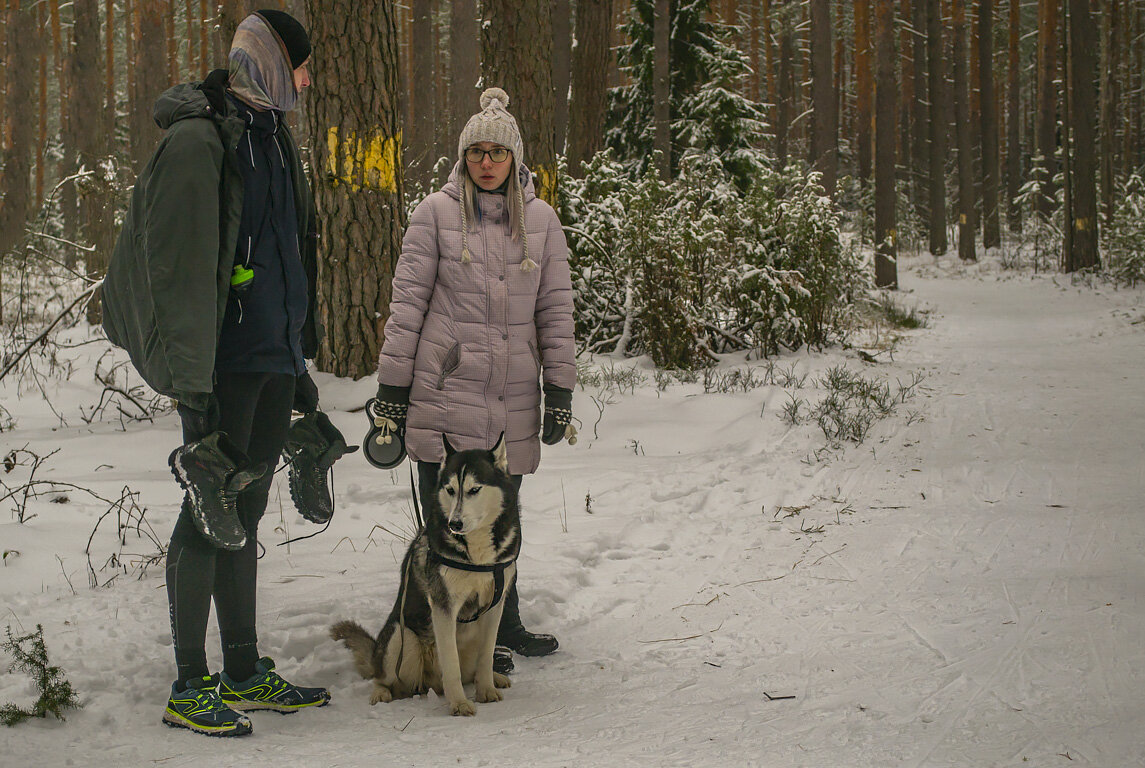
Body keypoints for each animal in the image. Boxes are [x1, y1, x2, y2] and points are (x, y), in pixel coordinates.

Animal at [329, 434, 522, 714]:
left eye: (474, 489)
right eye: (450, 490)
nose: (455, 524)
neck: (476, 556)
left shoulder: (494, 605)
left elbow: (487, 656)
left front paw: (486, 689)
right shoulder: (443, 606)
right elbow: (450, 664)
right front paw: (459, 703)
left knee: (471, 669)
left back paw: (492, 678)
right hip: (401, 637)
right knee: (385, 678)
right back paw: (381, 693)